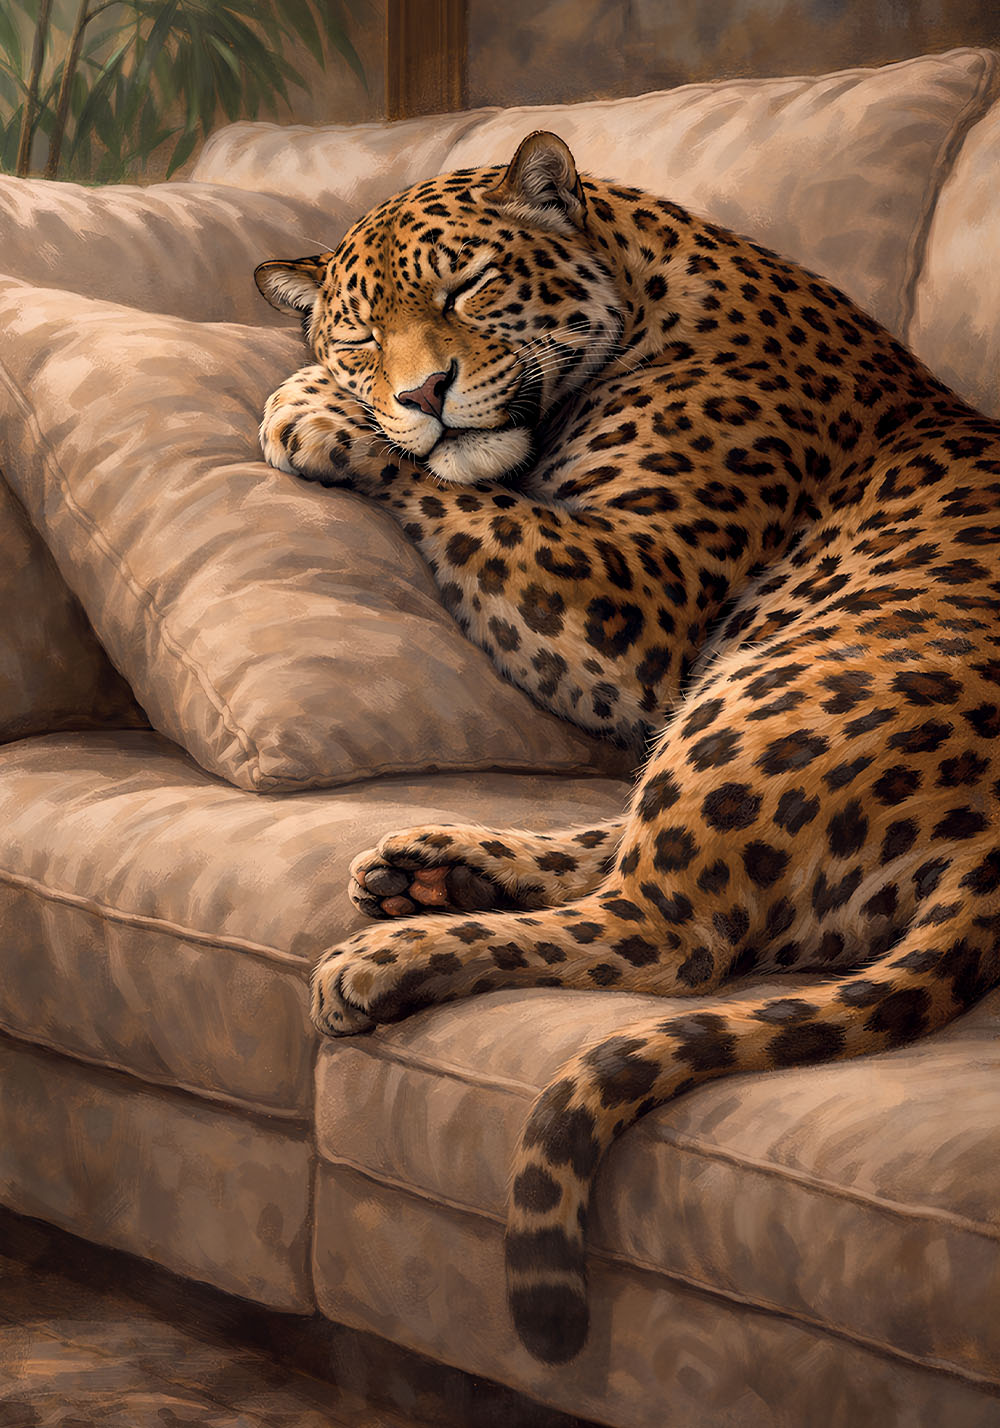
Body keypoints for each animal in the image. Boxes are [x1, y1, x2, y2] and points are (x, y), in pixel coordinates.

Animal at [255, 131, 1000, 1365]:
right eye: (360, 332)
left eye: (468, 287)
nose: (421, 393)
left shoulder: (633, 599)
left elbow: (463, 488)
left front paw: (314, 410)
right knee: (616, 854)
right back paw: (426, 867)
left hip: (781, 673)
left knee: (665, 937)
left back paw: (391, 955)